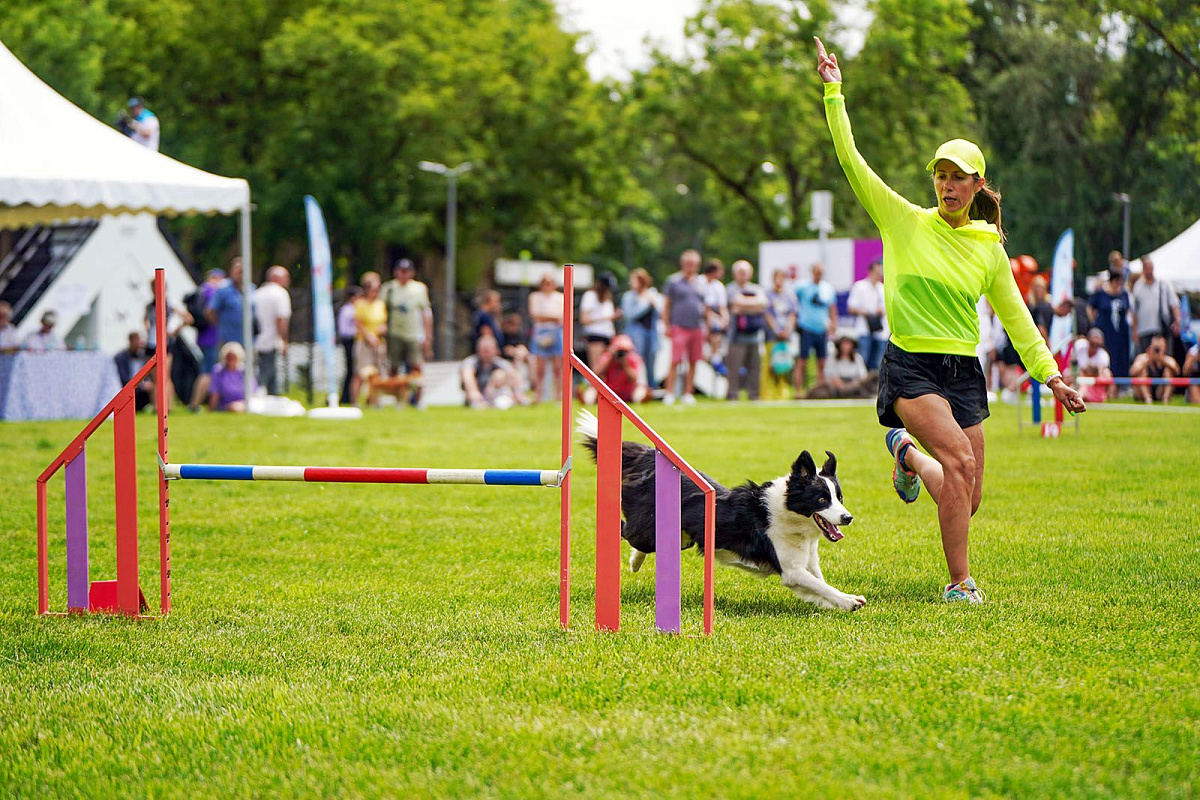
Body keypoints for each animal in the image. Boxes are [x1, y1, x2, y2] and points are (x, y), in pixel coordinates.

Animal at [578, 412, 868, 614]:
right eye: (822, 499)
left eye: (839, 497)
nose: (848, 518)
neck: (790, 515)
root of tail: (648, 456)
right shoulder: (791, 570)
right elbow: (821, 585)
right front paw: (848, 602)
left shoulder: (806, 563)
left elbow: (820, 585)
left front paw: (839, 601)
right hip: (646, 530)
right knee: (626, 530)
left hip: (681, 537)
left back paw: (635, 561)